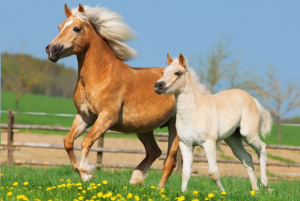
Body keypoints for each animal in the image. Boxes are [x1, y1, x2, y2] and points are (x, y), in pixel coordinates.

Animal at [45, 3, 179, 187]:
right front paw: (84, 174)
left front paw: (86, 172)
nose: (52, 50)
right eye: (59, 27)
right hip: (144, 128)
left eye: (76, 28)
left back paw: (158, 189)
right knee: (154, 151)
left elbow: (86, 142)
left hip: (175, 127)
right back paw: (135, 179)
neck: (100, 75)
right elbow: (68, 141)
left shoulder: (106, 117)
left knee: (169, 161)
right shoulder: (85, 116)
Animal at [154, 53, 274, 192]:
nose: (158, 85)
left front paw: (223, 192)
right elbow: (185, 172)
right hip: (233, 139)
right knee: (247, 159)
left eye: (177, 73)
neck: (195, 111)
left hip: (248, 134)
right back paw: (255, 190)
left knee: (262, 149)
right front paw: (183, 192)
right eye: (163, 72)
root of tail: (252, 99)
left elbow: (213, 173)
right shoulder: (186, 144)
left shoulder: (209, 144)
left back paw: (265, 185)